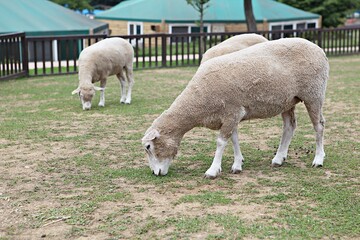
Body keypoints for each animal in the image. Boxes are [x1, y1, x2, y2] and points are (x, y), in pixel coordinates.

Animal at [141, 37, 330, 179]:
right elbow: (234, 139)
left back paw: (318, 159)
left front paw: (213, 170)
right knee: (289, 126)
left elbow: (221, 142)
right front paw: (237, 164)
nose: (155, 173)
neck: (198, 100)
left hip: (314, 93)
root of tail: (319, 49)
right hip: (288, 100)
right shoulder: (231, 115)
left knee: (319, 125)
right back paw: (278, 158)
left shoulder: (232, 112)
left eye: (148, 147)